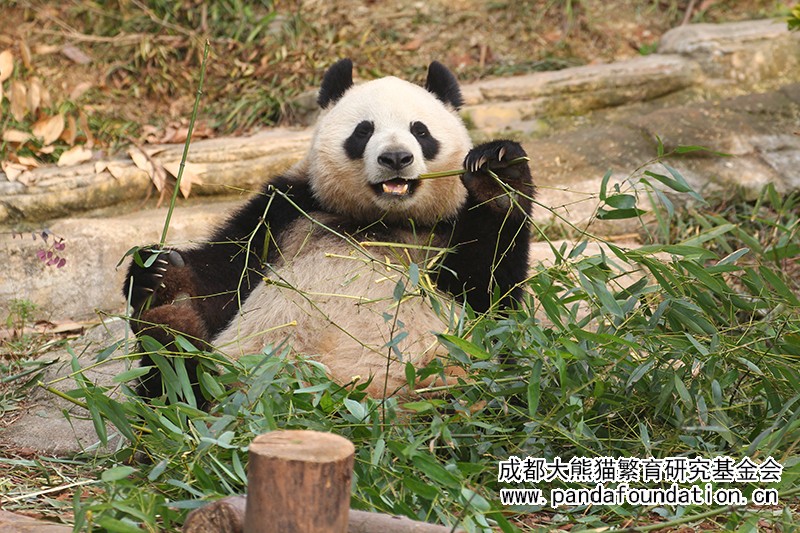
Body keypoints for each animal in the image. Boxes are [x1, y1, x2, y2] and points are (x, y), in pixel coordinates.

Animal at [124, 59, 534, 401]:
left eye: (420, 131)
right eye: (363, 131)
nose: (395, 158)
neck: (380, 220)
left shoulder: (441, 233)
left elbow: (487, 287)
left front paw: (497, 175)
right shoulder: (286, 210)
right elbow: (224, 272)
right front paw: (158, 273)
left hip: (458, 382)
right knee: (175, 389)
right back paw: (170, 317)